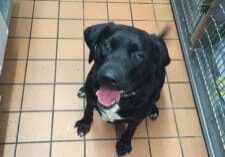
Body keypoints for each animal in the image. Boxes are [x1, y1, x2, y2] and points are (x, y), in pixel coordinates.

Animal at [74, 22, 170, 156]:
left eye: (138, 55)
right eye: (106, 45)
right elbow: (88, 111)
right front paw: (84, 124)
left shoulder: (136, 119)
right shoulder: (91, 99)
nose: (108, 78)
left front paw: (124, 144)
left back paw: (153, 110)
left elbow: (130, 131)